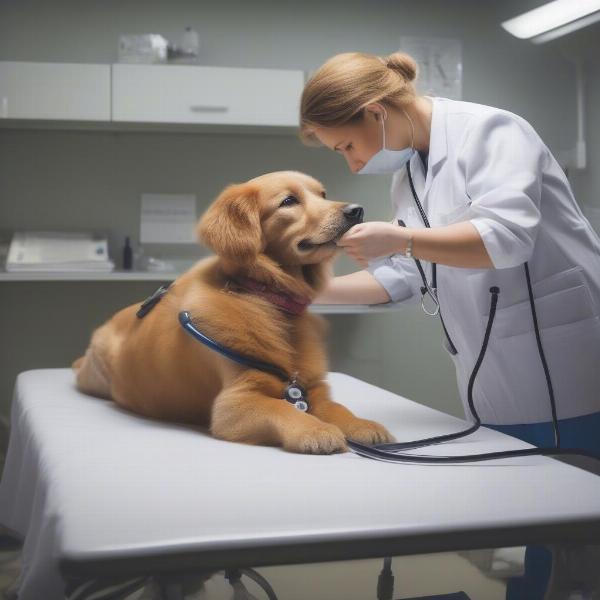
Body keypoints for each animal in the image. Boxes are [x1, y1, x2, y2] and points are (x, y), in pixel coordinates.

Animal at [72, 171, 396, 452]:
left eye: (323, 194)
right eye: (289, 201)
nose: (357, 211)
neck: (267, 300)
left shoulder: (314, 388)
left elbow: (337, 407)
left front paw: (361, 424)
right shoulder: (234, 403)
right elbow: (281, 407)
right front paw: (314, 429)